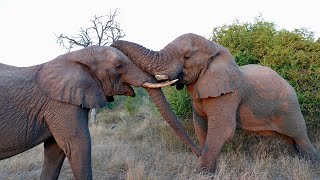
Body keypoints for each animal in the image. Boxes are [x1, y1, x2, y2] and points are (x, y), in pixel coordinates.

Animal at [0, 45, 200, 179]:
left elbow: (55, 151)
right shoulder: (61, 105)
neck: (77, 56)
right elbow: (78, 145)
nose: (200, 155)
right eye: (119, 66)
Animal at [110, 33, 320, 172]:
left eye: (187, 56)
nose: (112, 43)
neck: (215, 49)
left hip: (290, 107)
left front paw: (203, 173)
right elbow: (200, 126)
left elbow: (222, 129)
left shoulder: (228, 95)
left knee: (300, 136)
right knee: (291, 140)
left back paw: (312, 164)